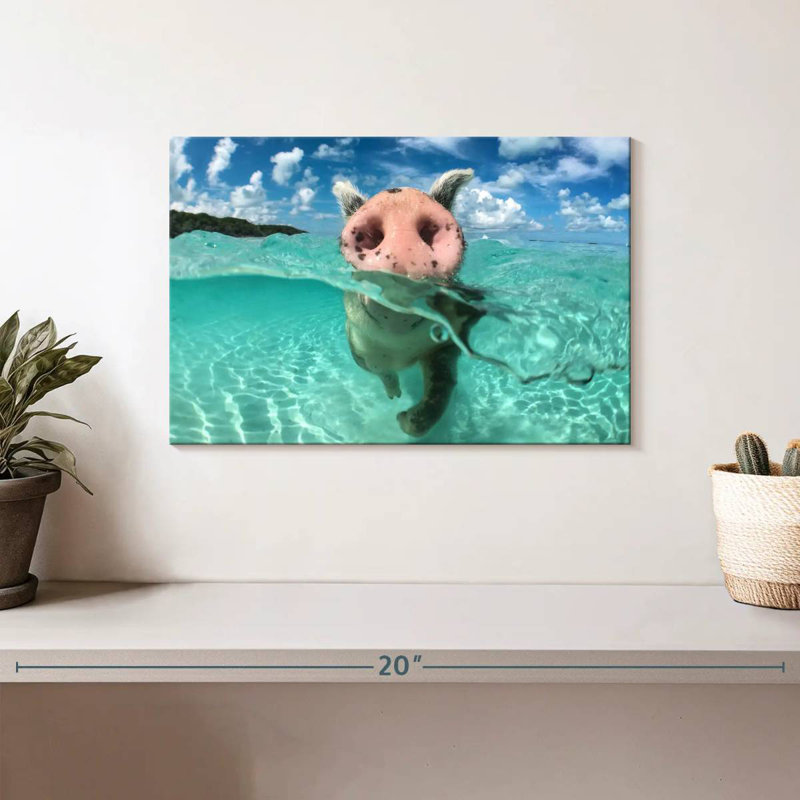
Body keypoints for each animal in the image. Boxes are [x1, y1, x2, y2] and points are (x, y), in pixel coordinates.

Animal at [333, 169, 484, 438]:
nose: (401, 199)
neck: (400, 350)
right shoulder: (357, 345)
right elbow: (381, 371)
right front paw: (395, 398)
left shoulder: (447, 342)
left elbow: (441, 386)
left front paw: (402, 419)